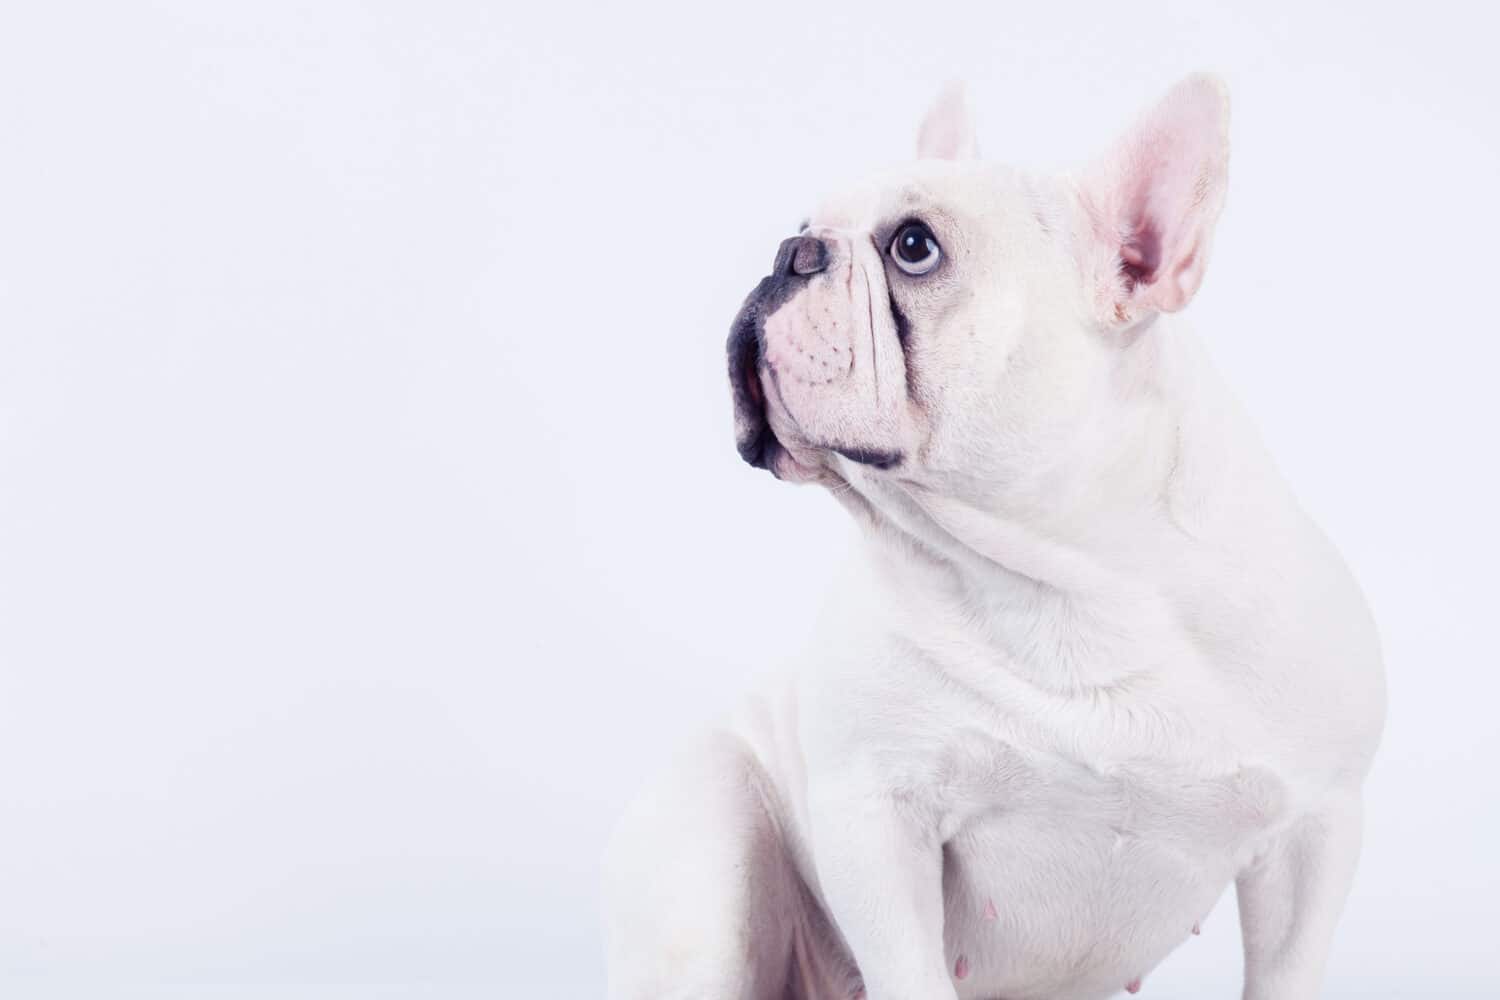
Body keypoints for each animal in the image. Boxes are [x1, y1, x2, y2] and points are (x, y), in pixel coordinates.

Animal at [597, 76, 1380, 1000]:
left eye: (913, 246)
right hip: (712, 843)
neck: (1074, 579)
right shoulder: (879, 820)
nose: (791, 252)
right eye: (803, 221)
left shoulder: (1315, 828)